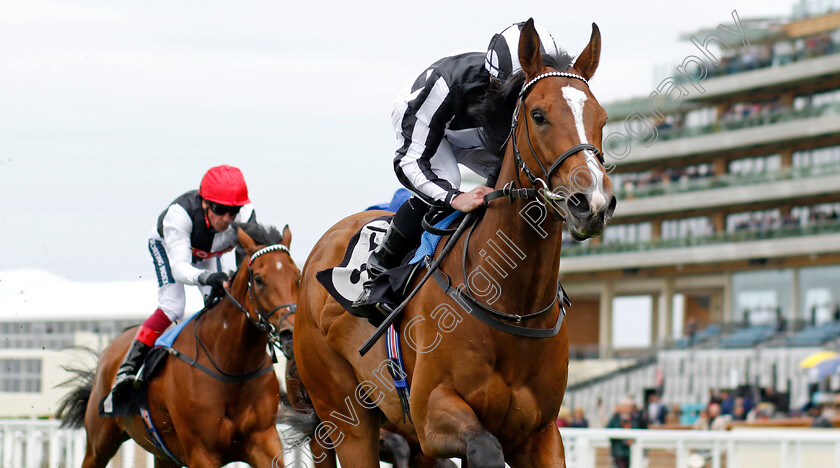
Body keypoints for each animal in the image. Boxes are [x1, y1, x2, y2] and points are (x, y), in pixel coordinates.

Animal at [56, 224, 298, 468]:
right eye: (258, 279)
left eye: (297, 276)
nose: (290, 334)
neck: (233, 367)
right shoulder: (201, 452)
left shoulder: (264, 440)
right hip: (99, 444)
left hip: (163, 454)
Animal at [292, 19, 612, 468]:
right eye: (538, 115)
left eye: (602, 118)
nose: (593, 201)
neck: (513, 305)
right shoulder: (432, 416)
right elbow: (485, 448)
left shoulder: (542, 433)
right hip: (345, 415)